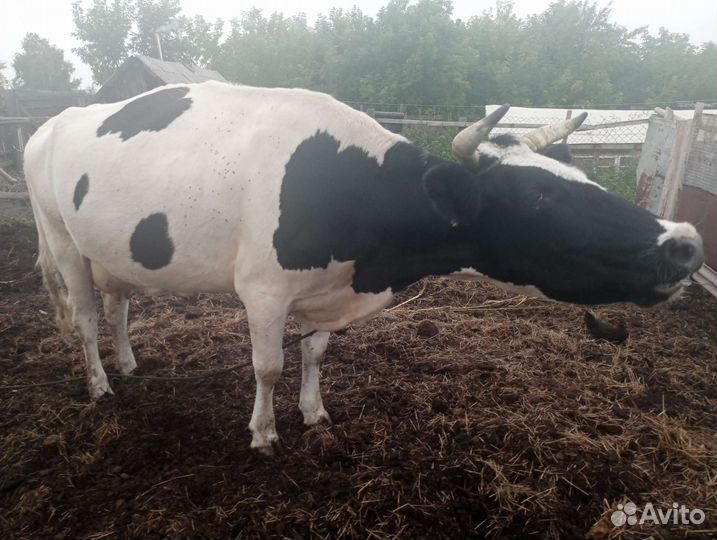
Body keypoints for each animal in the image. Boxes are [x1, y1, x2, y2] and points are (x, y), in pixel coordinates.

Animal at [24, 82, 703, 454]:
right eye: (539, 197)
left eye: (581, 174)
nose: (687, 243)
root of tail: (51, 123)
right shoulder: (263, 290)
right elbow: (268, 367)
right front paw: (264, 433)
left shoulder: (327, 293)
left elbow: (315, 353)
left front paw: (314, 413)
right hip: (61, 239)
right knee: (85, 318)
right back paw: (101, 386)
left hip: (110, 249)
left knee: (117, 306)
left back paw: (129, 365)